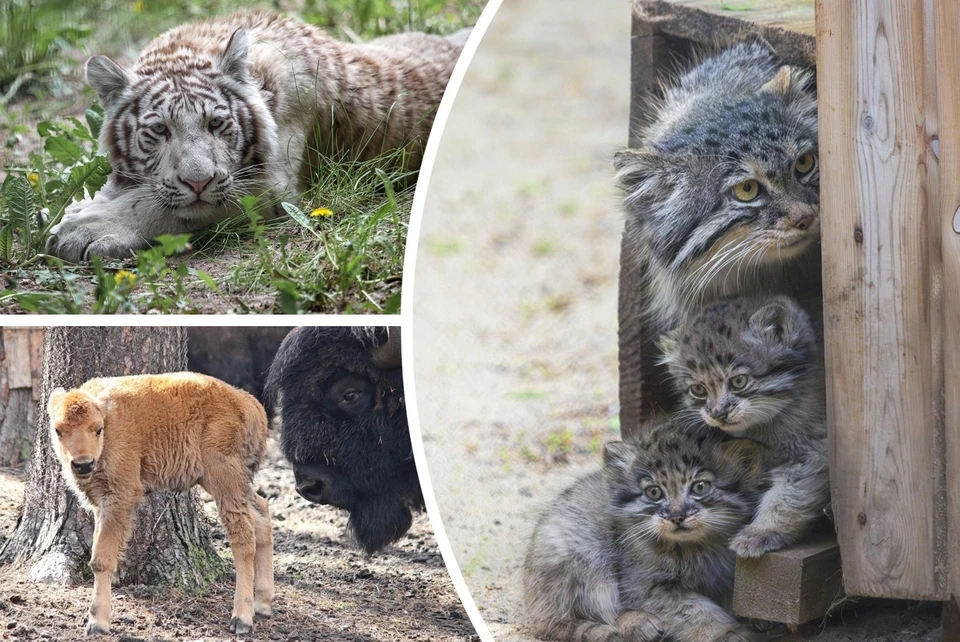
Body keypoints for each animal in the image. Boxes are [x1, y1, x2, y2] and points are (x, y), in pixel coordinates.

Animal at [47, 10, 468, 260]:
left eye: (216, 124)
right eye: (159, 130)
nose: (197, 182)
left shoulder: (271, 189)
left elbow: (161, 206)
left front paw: (85, 228)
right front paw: (80, 208)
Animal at [48, 370, 274, 636]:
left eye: (98, 429)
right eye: (58, 430)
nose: (83, 464)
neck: (110, 420)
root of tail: (250, 404)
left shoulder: (120, 497)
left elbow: (101, 560)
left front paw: (98, 623)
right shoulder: (100, 503)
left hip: (224, 479)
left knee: (244, 537)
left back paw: (242, 618)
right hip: (227, 481)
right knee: (262, 514)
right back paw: (262, 604)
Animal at [520, 418, 760, 640]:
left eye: (700, 487)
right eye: (654, 492)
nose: (677, 516)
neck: (693, 548)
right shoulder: (644, 586)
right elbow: (697, 612)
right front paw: (730, 632)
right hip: (582, 555)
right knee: (570, 620)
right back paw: (637, 624)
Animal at [660, 296, 824, 556]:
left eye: (739, 381)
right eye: (698, 389)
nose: (718, 414)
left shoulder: (810, 453)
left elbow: (786, 496)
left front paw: (763, 531)